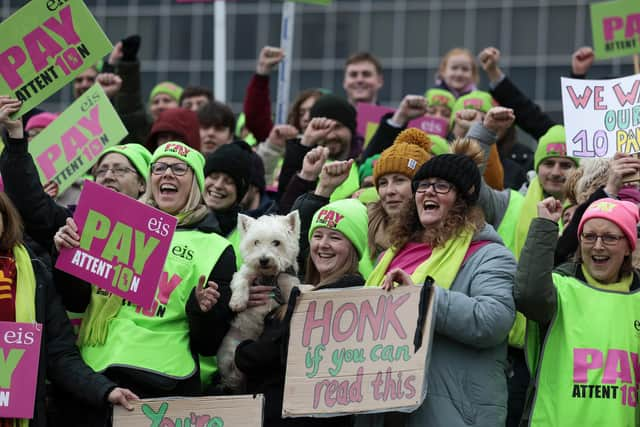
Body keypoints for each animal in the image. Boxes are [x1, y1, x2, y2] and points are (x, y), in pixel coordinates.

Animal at [216, 211, 302, 394]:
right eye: (256, 242)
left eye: (276, 242)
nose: (263, 260)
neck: (269, 277)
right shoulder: (245, 272)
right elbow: (241, 281)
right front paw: (237, 303)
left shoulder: (288, 281)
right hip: (230, 352)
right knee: (233, 375)